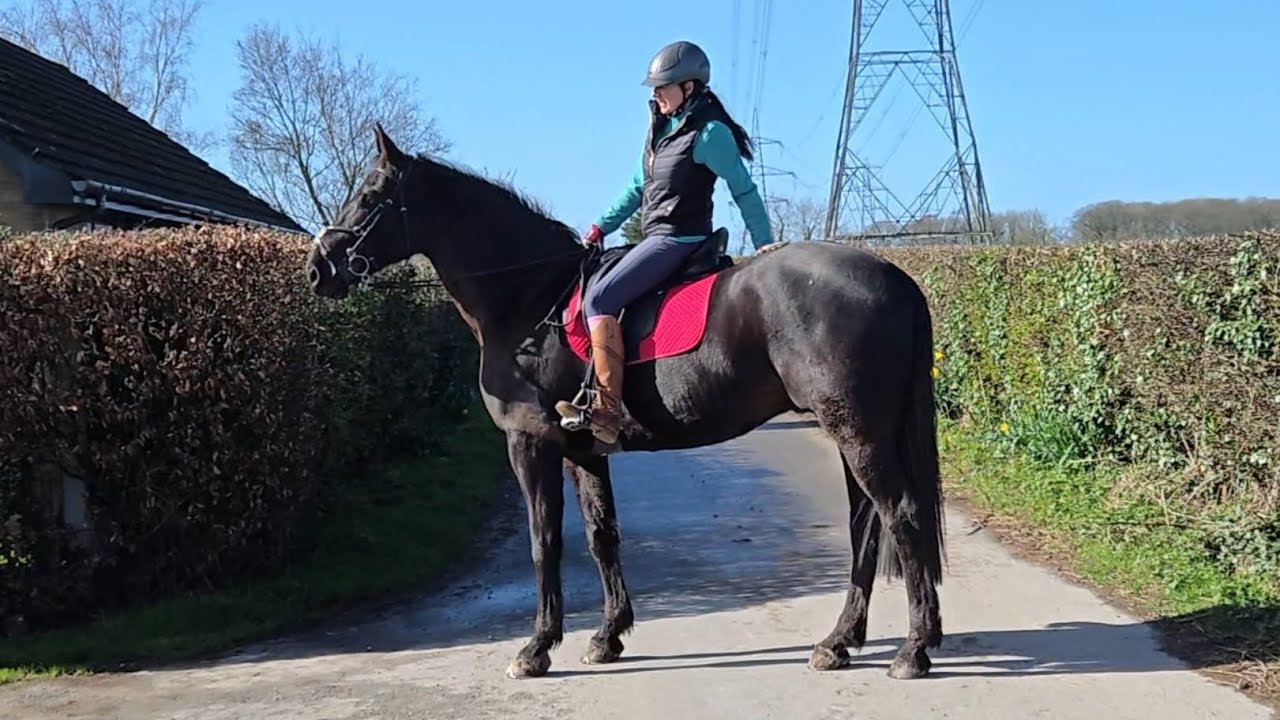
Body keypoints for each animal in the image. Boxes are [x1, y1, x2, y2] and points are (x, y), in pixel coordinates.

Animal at [306, 124, 947, 681]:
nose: (318, 269)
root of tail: (893, 275)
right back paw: (840, 641)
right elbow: (601, 535)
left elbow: (545, 542)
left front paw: (537, 647)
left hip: (858, 431)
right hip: (856, 432)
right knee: (867, 525)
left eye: (370, 196)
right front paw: (607, 635)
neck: (529, 299)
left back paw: (912, 650)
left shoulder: (530, 445)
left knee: (900, 515)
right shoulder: (584, 451)